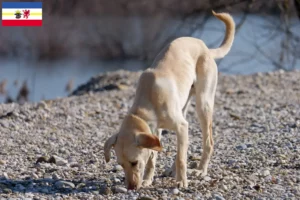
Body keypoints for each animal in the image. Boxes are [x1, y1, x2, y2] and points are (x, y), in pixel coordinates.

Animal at [104, 10, 236, 189]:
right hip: (184, 108)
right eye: (121, 164)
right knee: (183, 146)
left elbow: (181, 158)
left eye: (134, 162)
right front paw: (148, 179)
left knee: (207, 142)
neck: (148, 101)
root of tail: (205, 47)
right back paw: (173, 170)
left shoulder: (180, 126)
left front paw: (181, 182)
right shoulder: (157, 131)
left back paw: (200, 170)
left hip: (203, 104)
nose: (131, 188)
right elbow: (153, 158)